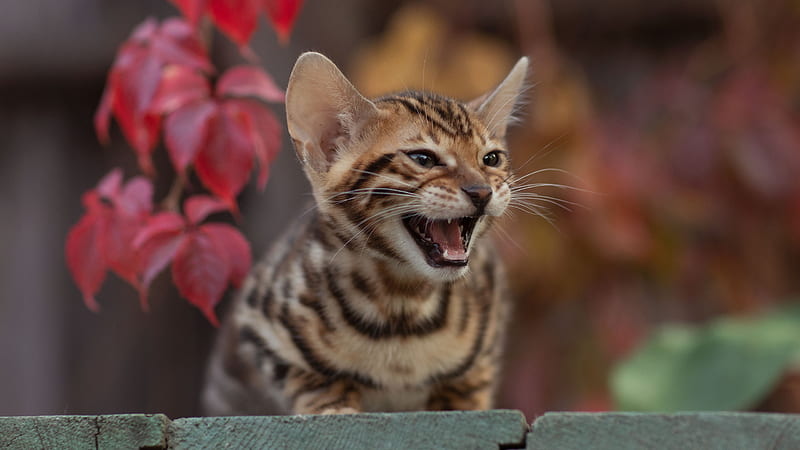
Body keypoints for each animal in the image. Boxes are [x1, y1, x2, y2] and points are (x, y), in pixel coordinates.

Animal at [205, 52, 532, 414]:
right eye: (423, 158)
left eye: (491, 158)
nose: (482, 191)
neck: (402, 307)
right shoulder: (259, 329)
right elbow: (310, 376)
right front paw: (332, 404)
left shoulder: (487, 339)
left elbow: (468, 386)